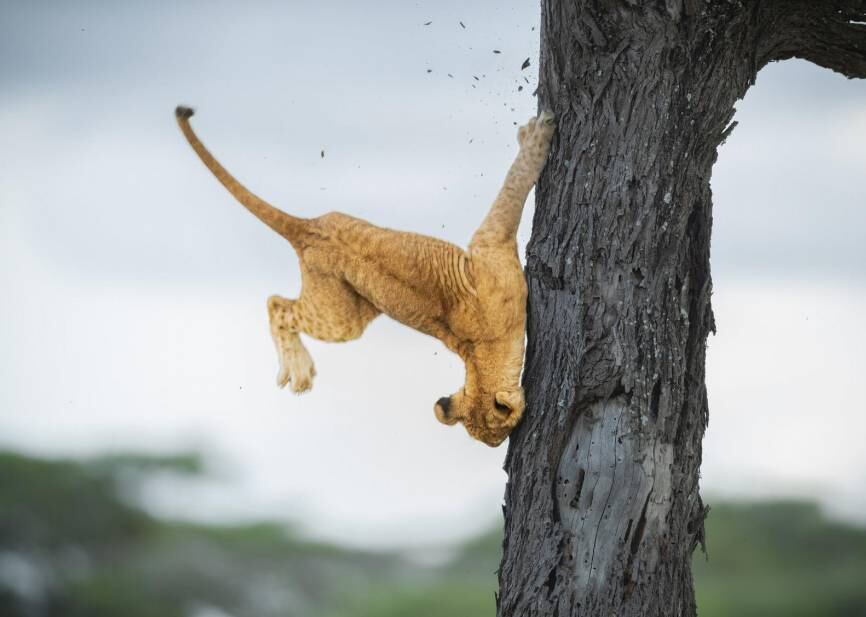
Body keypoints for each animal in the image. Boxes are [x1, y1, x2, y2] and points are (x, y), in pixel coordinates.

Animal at [175, 106, 555, 446]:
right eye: (498, 436)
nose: (498, 449)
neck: (478, 358)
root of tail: (305, 228)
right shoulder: (490, 245)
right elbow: (511, 192)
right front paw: (536, 137)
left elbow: (510, 190)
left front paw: (532, 135)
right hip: (340, 320)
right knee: (276, 305)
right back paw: (298, 371)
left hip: (360, 299)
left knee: (280, 301)